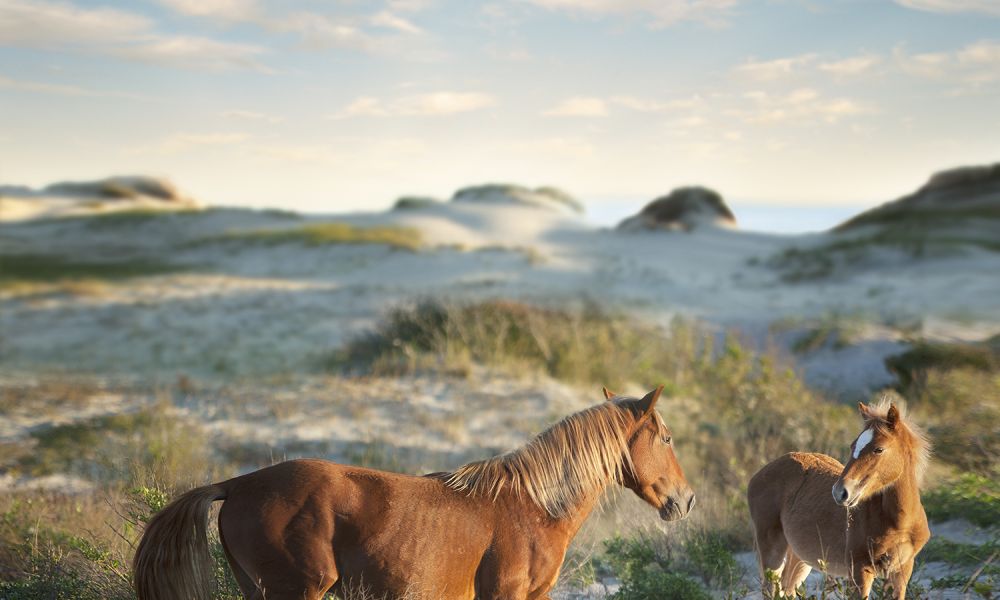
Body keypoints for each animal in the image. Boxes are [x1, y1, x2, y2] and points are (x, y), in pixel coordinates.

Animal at [748, 398, 932, 600]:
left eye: (879, 449)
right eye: (853, 446)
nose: (839, 492)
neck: (899, 522)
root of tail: (758, 475)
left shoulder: (901, 570)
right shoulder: (859, 569)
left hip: (799, 557)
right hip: (772, 550)